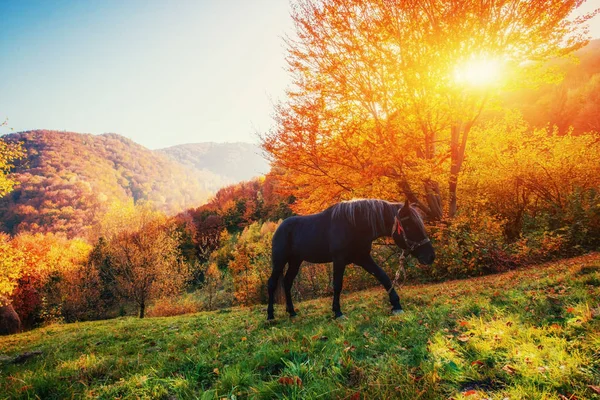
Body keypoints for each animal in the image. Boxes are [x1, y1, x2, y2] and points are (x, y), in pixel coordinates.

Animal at [268, 198, 436, 320]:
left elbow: (383, 277)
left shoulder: (363, 258)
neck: (354, 225)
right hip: (279, 262)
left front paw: (396, 306)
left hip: (296, 261)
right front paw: (337, 312)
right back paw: (270, 316)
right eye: (409, 227)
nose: (430, 256)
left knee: (287, 283)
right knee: (272, 283)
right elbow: (337, 285)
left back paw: (292, 312)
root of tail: (280, 227)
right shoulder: (339, 259)